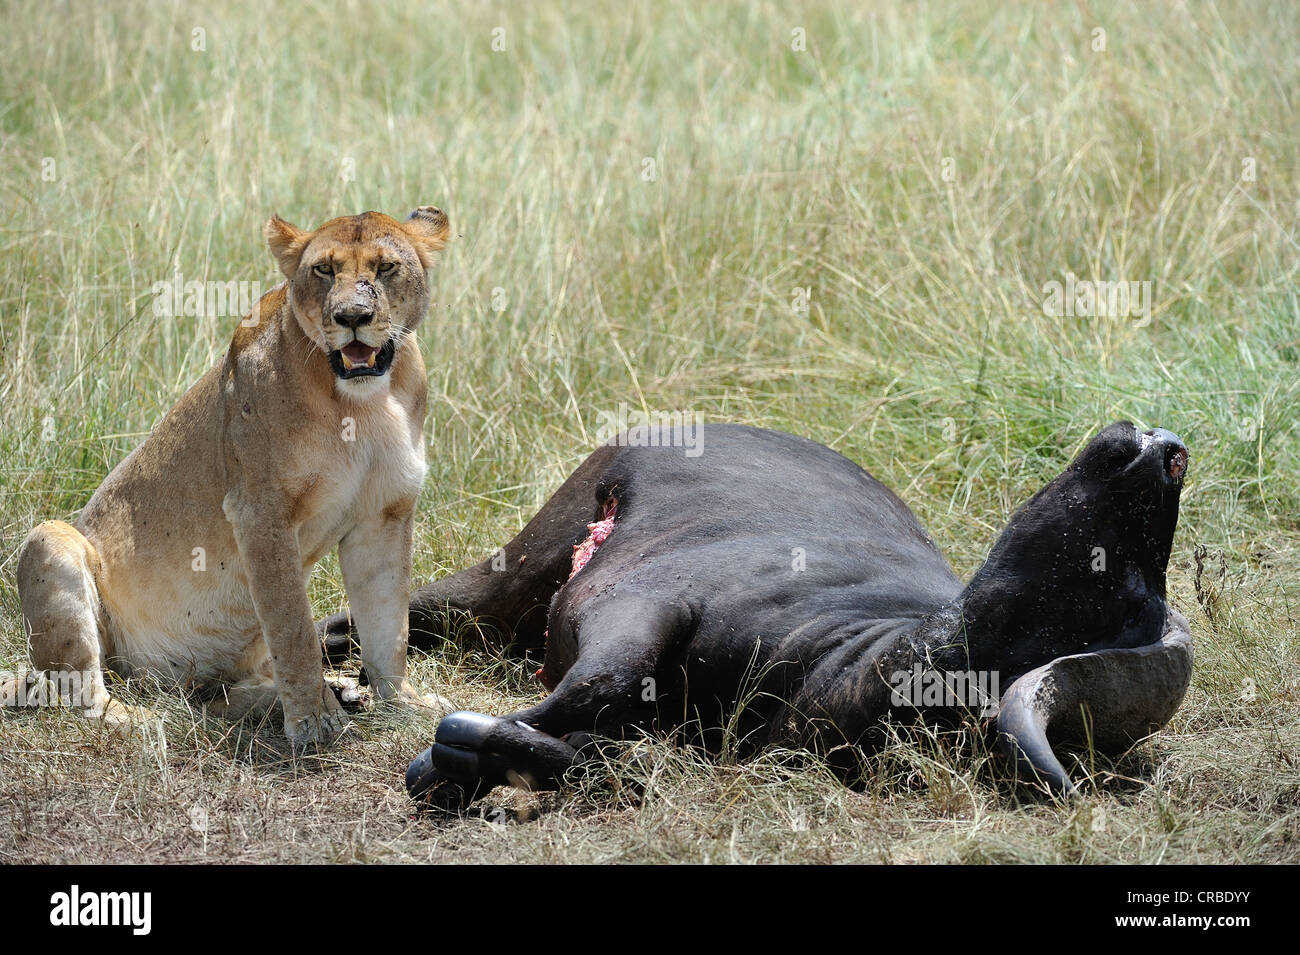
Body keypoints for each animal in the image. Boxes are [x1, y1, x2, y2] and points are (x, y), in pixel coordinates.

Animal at [8, 207, 451, 746]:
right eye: (324, 270)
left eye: (386, 267)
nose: (351, 318)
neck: (364, 402)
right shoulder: (259, 511)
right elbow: (294, 627)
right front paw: (313, 723)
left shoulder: (384, 513)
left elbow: (390, 626)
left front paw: (402, 704)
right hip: (50, 542)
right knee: (80, 690)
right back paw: (145, 719)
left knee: (219, 699)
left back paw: (325, 693)